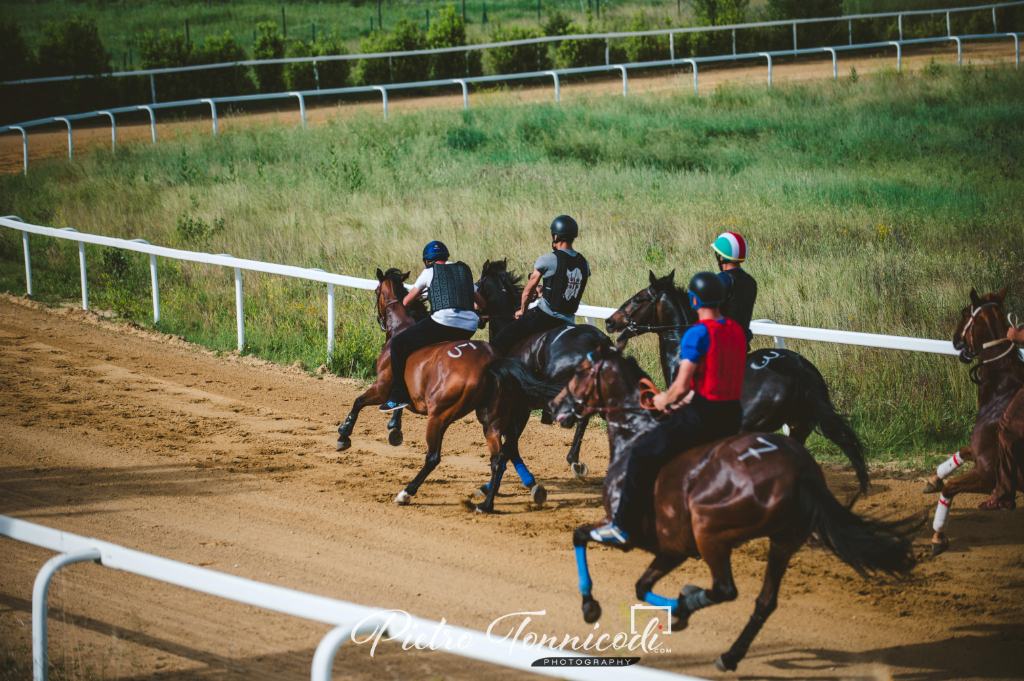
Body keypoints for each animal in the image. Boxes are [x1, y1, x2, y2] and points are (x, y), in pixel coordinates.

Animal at [335, 268, 557, 507]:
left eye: (377, 291)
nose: (380, 320)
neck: (401, 328)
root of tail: (490, 362)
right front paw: (394, 427)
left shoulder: (381, 387)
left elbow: (359, 402)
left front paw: (344, 434)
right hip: (493, 418)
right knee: (499, 456)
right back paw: (491, 502)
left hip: (439, 416)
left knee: (434, 457)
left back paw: (407, 492)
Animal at [552, 342, 921, 671]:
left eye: (579, 372)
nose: (555, 404)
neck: (637, 435)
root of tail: (800, 470)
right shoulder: (673, 548)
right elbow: (641, 584)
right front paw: (678, 609)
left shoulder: (627, 531)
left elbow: (580, 536)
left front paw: (591, 605)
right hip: (783, 536)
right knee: (764, 601)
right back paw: (728, 654)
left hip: (711, 534)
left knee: (726, 589)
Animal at [929, 284, 1024, 557]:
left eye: (964, 312)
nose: (954, 338)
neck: (1001, 393)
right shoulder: (978, 452)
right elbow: (961, 452)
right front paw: (934, 478)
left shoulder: (987, 474)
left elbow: (949, 488)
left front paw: (938, 536)